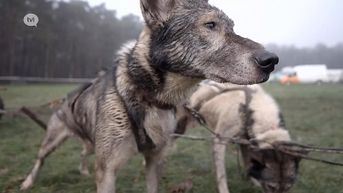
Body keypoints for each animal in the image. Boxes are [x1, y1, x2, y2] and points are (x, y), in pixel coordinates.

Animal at [20, 0, 280, 192]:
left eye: (232, 27)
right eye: (210, 25)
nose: (272, 61)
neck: (150, 98)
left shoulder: (155, 160)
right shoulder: (107, 171)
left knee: (84, 151)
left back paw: (82, 170)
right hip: (52, 140)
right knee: (39, 159)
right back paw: (28, 181)